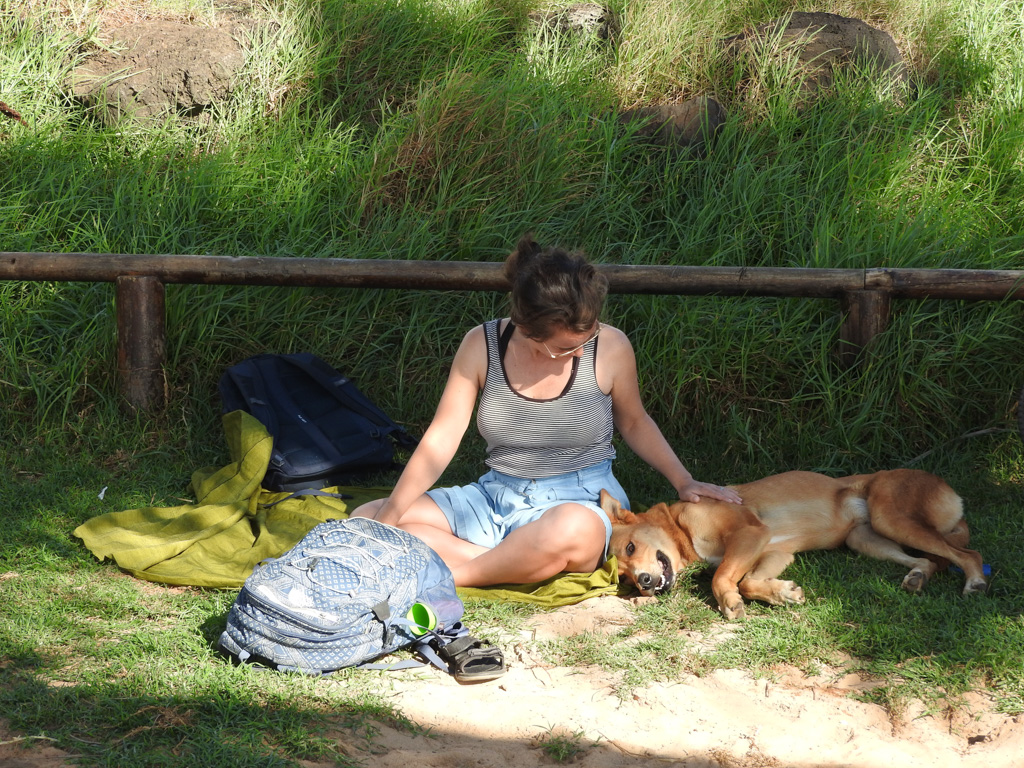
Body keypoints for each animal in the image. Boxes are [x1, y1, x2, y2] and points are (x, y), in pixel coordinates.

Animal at [602, 468, 987, 618]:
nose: (644, 583)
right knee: (927, 561)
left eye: (632, 548)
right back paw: (917, 577)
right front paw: (782, 593)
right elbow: (750, 581)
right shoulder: (774, 550)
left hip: (890, 517)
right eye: (624, 579)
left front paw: (729, 600)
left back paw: (975, 581)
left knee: (967, 553)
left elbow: (723, 577)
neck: (680, 527)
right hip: (864, 539)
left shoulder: (749, 534)